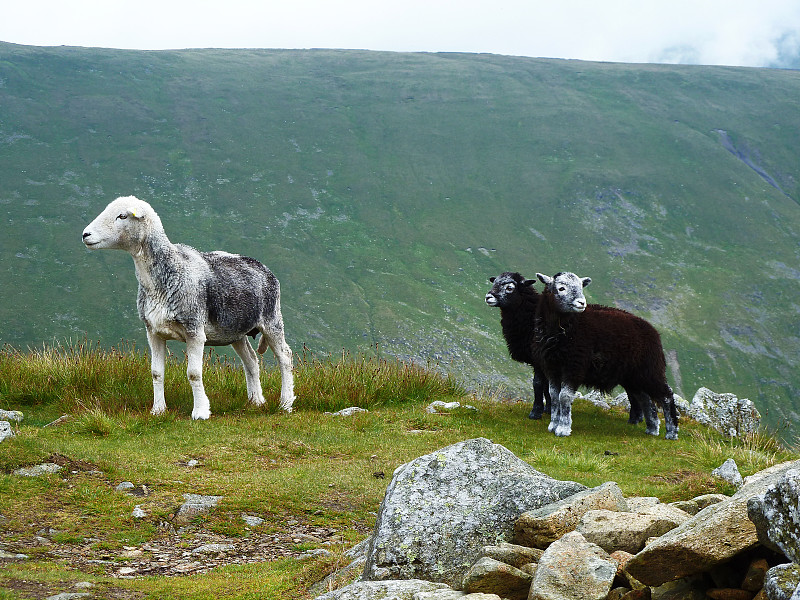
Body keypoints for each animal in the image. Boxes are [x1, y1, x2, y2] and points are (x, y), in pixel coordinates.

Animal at [81, 196, 296, 418]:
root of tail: (264, 268)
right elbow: (156, 373)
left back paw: (286, 403)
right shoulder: (153, 331)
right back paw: (256, 401)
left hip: (272, 320)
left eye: (122, 216)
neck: (167, 273)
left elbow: (193, 373)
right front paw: (158, 410)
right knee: (252, 361)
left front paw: (200, 411)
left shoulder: (194, 331)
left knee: (285, 357)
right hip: (235, 332)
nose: (85, 235)